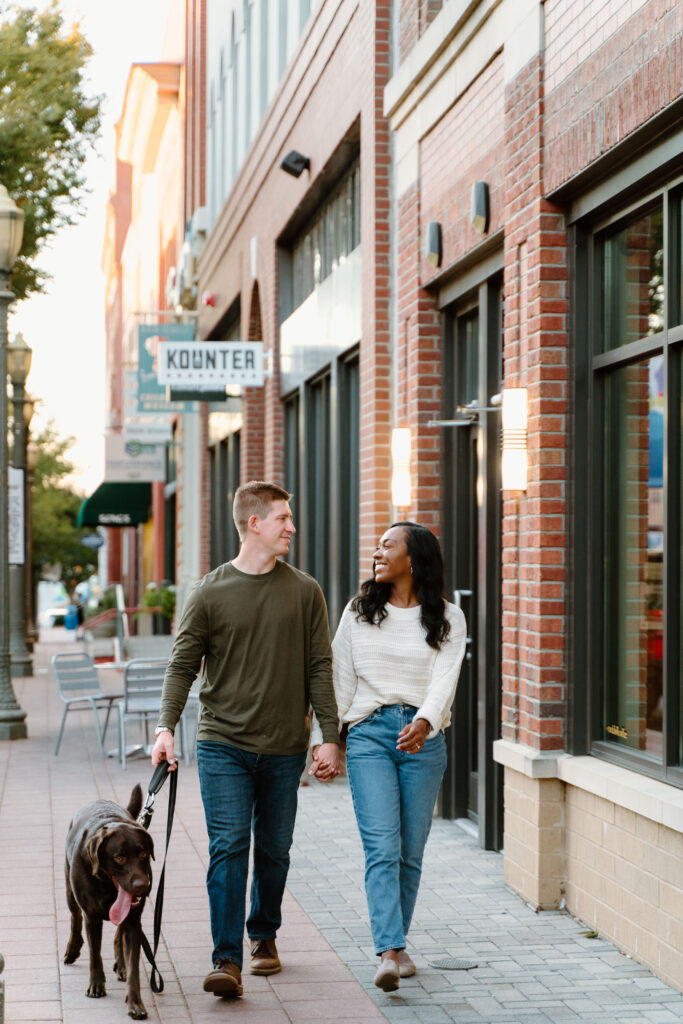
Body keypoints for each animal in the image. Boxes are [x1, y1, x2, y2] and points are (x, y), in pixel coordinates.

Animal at [63, 782, 154, 1015]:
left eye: (143, 853)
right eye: (119, 857)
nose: (142, 886)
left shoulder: (133, 921)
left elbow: (134, 966)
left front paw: (135, 1002)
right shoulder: (92, 918)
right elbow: (95, 954)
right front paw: (96, 986)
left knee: (119, 934)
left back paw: (120, 965)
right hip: (69, 889)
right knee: (74, 916)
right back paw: (72, 948)